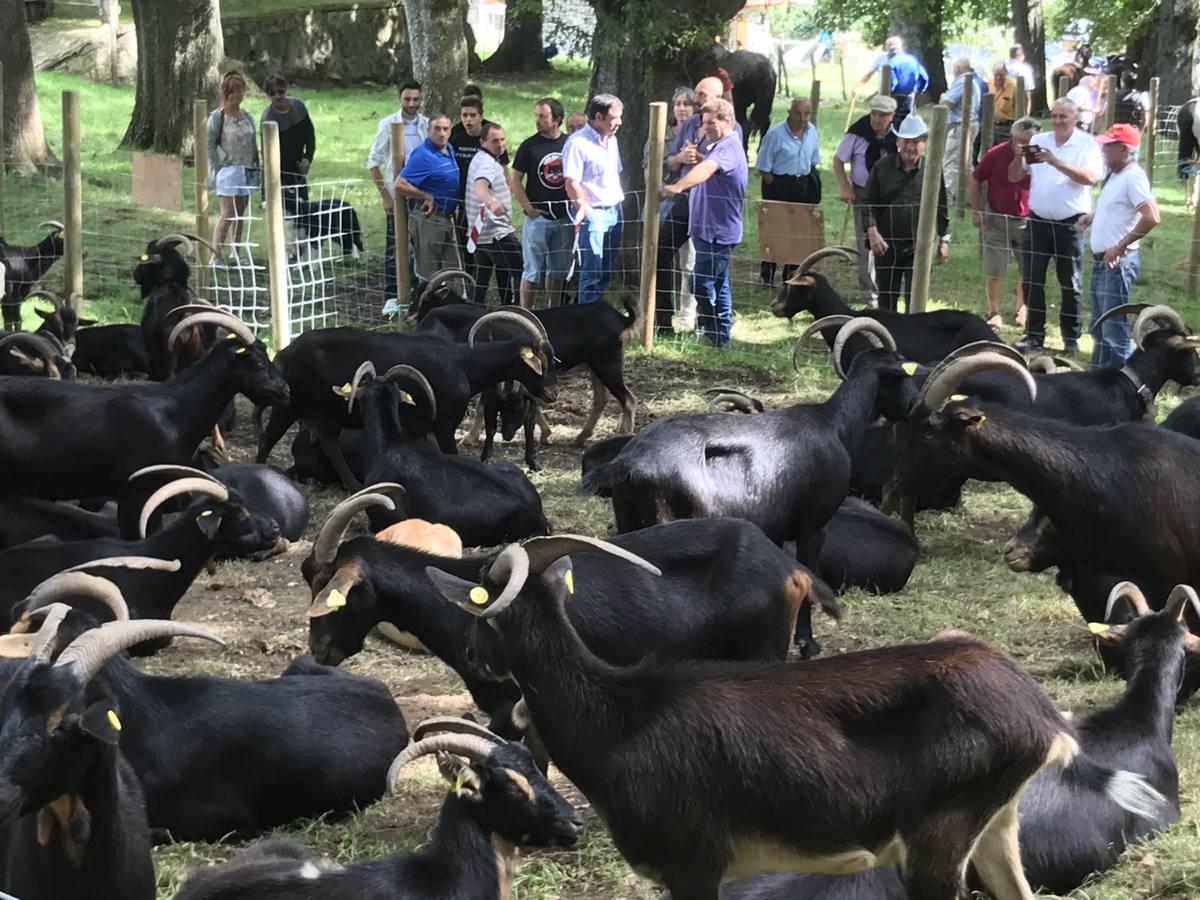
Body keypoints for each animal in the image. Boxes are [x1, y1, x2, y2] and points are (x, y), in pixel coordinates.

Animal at [427, 535, 1166, 900]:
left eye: (482, 607)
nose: (474, 657)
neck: (618, 716)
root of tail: (1041, 713)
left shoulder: (694, 867)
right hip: (995, 825)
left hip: (936, 840)